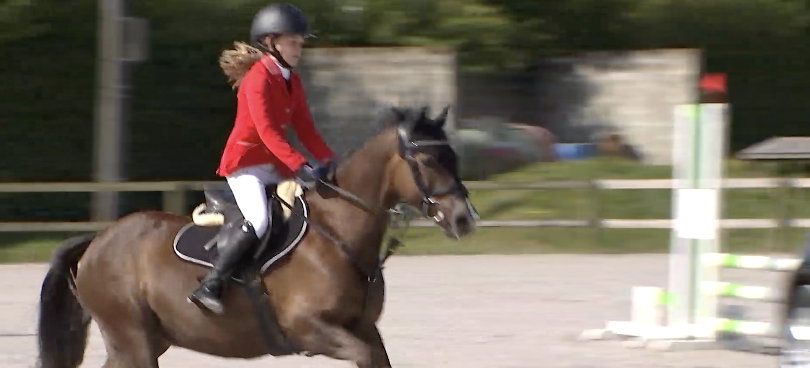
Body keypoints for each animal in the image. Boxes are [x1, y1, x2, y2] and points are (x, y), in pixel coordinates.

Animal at [38, 104, 476, 368]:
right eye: (428, 159)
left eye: (453, 156)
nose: (465, 219)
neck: (338, 234)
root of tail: (96, 242)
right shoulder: (312, 329)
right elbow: (363, 354)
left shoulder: (364, 328)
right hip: (133, 340)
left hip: (142, 341)